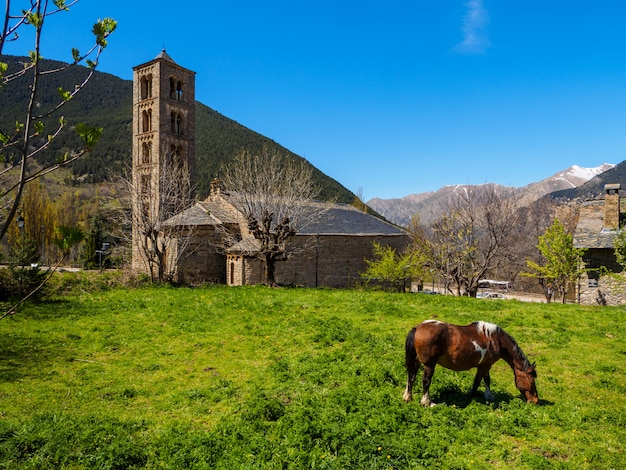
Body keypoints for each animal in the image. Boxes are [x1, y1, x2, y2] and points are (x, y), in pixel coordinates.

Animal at [404, 322, 536, 406]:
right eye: (532, 381)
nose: (535, 400)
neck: (495, 340)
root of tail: (417, 328)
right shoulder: (484, 366)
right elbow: (477, 381)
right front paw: (471, 396)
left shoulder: (486, 365)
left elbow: (487, 380)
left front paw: (489, 396)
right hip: (429, 364)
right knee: (426, 381)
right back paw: (427, 402)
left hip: (416, 361)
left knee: (411, 376)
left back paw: (407, 397)